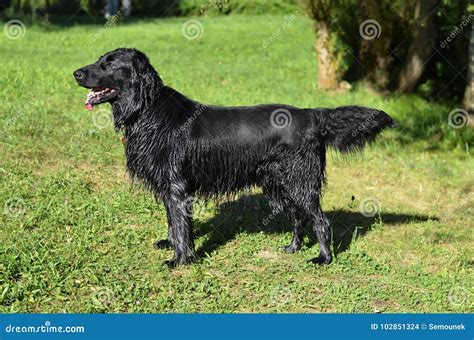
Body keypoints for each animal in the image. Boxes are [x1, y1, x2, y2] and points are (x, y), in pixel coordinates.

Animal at [73, 47, 392, 266]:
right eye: (100, 60)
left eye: (109, 64)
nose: (75, 73)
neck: (148, 111)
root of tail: (312, 115)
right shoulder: (167, 186)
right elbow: (172, 221)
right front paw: (170, 245)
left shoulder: (176, 186)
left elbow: (180, 224)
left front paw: (180, 260)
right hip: (279, 182)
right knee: (298, 218)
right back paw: (293, 248)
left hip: (299, 180)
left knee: (320, 220)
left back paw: (322, 259)